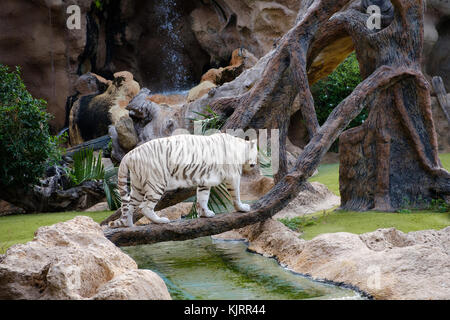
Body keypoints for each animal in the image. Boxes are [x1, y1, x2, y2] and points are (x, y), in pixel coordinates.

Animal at [109, 134, 258, 229]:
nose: (255, 164)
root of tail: (129, 154)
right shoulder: (233, 176)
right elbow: (236, 194)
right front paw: (242, 208)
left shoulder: (205, 181)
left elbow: (203, 197)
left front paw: (205, 214)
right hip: (157, 183)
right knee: (144, 207)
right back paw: (160, 221)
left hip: (137, 186)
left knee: (129, 205)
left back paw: (128, 224)